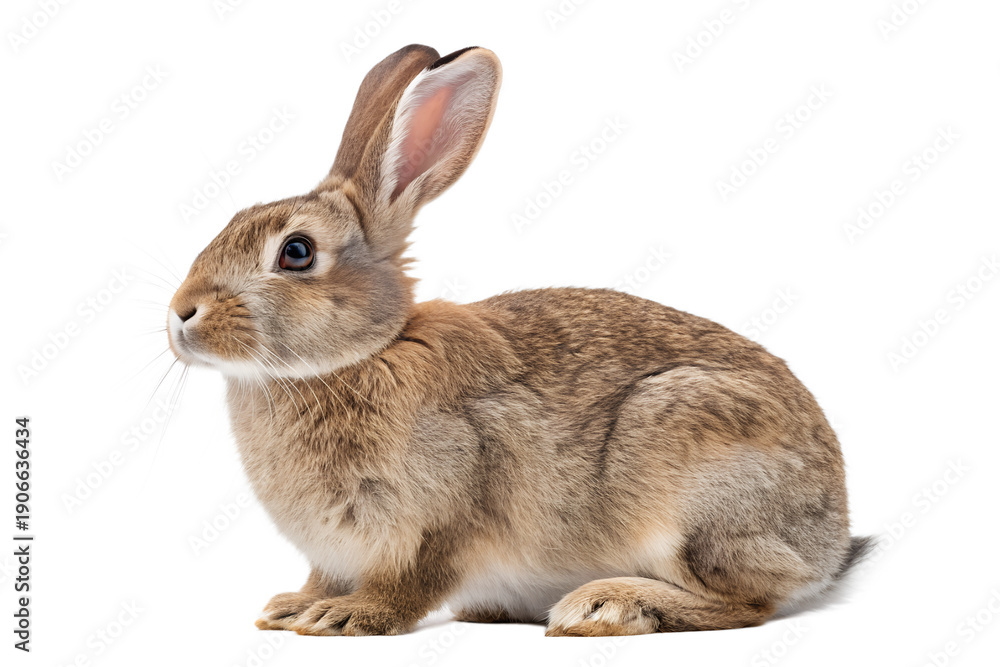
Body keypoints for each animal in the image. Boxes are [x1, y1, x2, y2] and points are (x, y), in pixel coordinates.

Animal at [167, 44, 870, 637]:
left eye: (297, 252)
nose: (180, 314)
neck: (364, 353)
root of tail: (830, 538)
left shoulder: (445, 514)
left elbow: (411, 584)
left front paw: (342, 618)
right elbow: (323, 577)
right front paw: (292, 607)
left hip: (690, 475)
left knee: (746, 604)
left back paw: (607, 605)